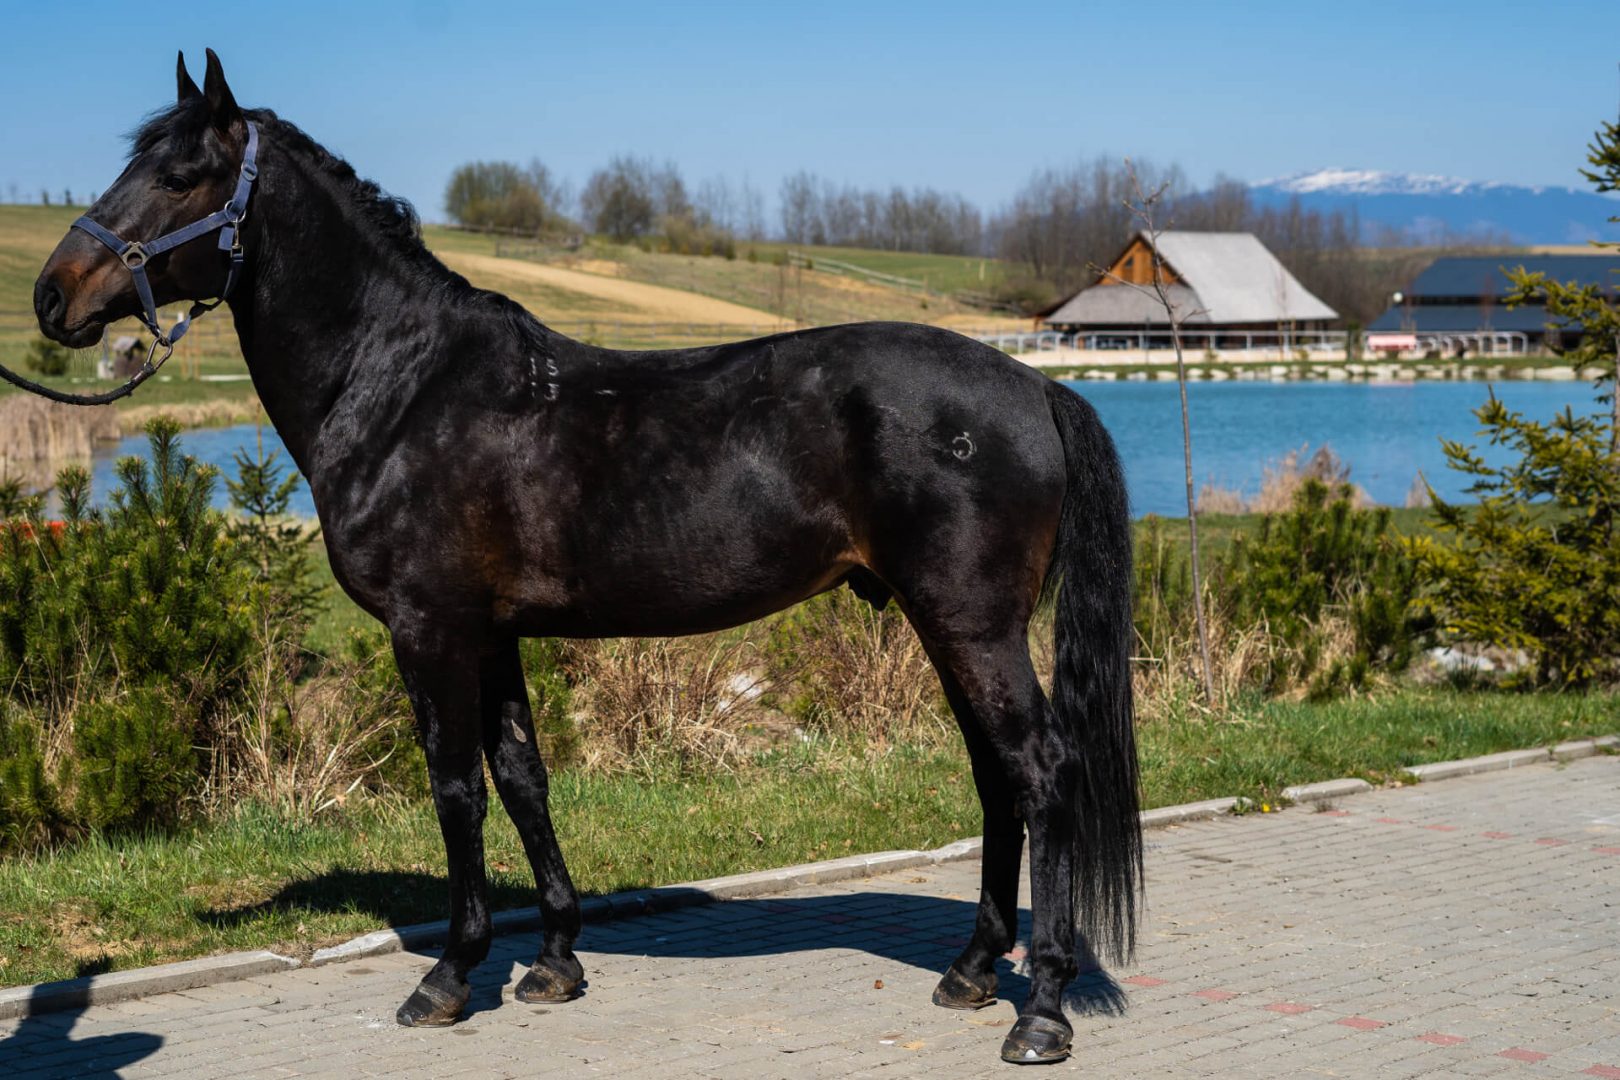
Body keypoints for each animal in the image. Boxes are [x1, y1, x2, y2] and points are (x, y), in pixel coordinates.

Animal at [32, 50, 1141, 1066]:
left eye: (181, 175)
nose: (52, 296)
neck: (404, 388)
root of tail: (1032, 384)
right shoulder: (493, 634)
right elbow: (523, 777)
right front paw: (554, 959)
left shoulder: (430, 630)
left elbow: (455, 789)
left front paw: (449, 975)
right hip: (948, 624)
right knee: (998, 776)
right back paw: (970, 971)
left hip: (972, 624)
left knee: (1040, 770)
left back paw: (1041, 1010)